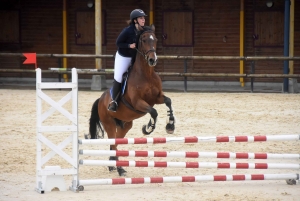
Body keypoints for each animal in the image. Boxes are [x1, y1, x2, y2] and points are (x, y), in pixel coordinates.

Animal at [86, 24, 176, 177]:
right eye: (144, 40)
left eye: (155, 39)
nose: (152, 60)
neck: (146, 74)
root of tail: (101, 99)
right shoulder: (138, 102)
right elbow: (154, 112)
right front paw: (148, 128)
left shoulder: (157, 98)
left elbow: (168, 101)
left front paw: (170, 125)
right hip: (109, 123)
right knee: (113, 141)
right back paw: (118, 168)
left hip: (125, 125)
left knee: (115, 143)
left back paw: (114, 166)